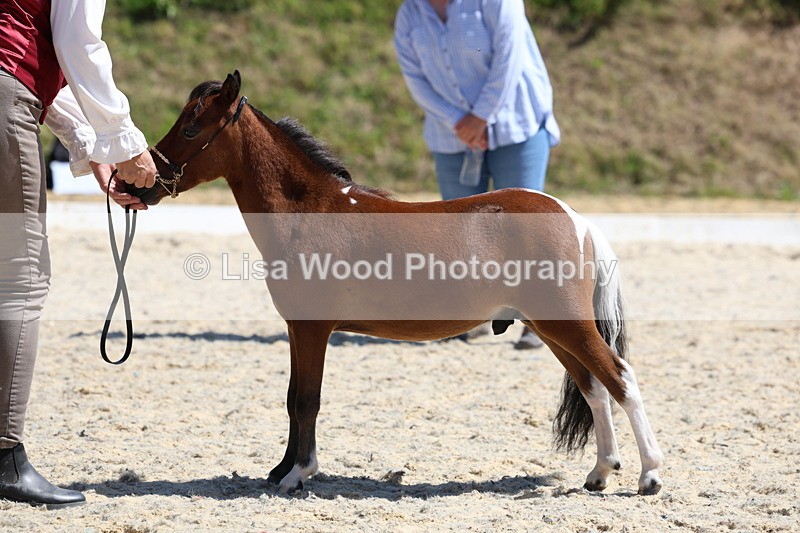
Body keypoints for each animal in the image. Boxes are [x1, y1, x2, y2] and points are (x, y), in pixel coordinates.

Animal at [131, 71, 663, 496]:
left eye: (192, 126)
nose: (145, 182)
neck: (311, 210)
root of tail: (573, 216)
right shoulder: (296, 330)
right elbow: (291, 399)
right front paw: (280, 469)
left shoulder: (313, 329)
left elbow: (307, 400)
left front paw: (298, 474)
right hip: (553, 329)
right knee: (594, 388)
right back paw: (599, 473)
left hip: (566, 325)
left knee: (621, 379)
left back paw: (650, 476)